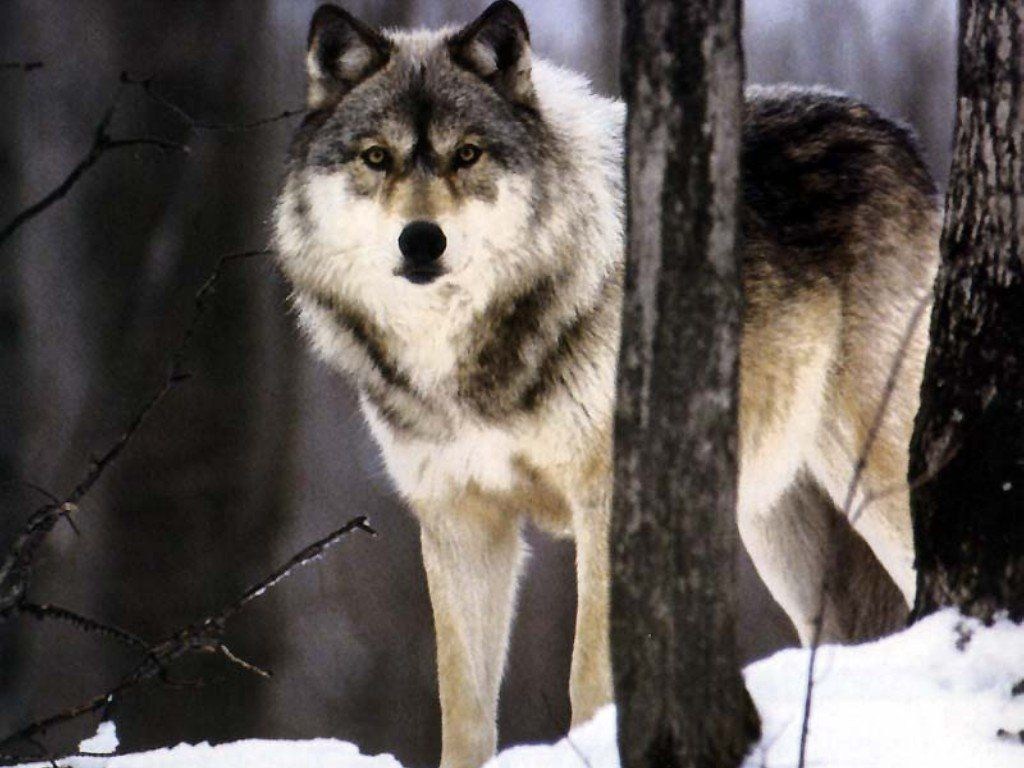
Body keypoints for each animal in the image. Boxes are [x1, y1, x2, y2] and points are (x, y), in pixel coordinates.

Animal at [274, 2, 939, 766]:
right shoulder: (459, 519)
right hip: (777, 527)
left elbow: (590, 676)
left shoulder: (607, 502)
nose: (421, 240)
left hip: (876, 477)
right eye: (376, 157)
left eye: (467, 154)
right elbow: (463, 707)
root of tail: (896, 131)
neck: (465, 359)